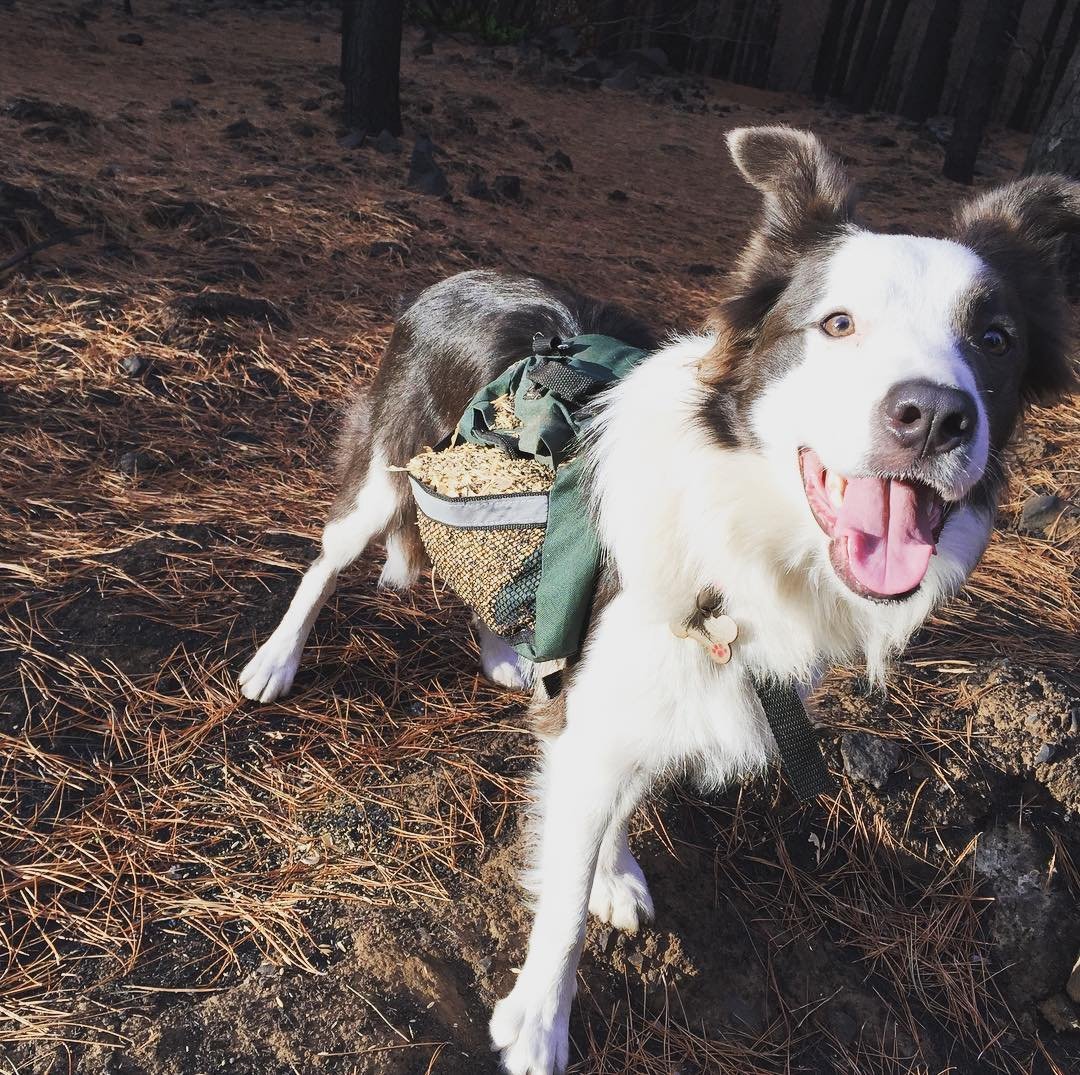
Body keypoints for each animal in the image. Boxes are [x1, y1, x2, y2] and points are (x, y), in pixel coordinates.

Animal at [240, 128, 1075, 1075]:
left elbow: (617, 797)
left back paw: (504, 651)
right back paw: (276, 660)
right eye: (837, 323)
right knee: (324, 563)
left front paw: (614, 867)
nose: (934, 416)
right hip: (384, 476)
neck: (741, 532)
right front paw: (540, 1016)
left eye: (995, 339)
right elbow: (563, 902)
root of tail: (449, 278)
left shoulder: (651, 689)